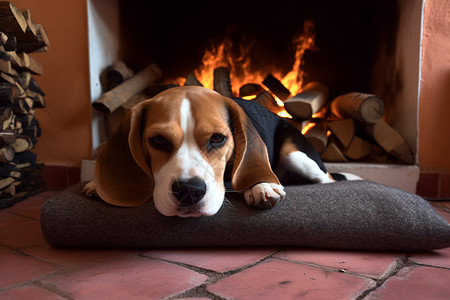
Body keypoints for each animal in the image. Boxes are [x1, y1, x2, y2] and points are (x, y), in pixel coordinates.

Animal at [82, 85, 340, 217]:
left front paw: (261, 185)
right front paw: (97, 184)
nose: (189, 191)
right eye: (158, 140)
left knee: (328, 179)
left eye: (217, 138)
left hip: (296, 156)